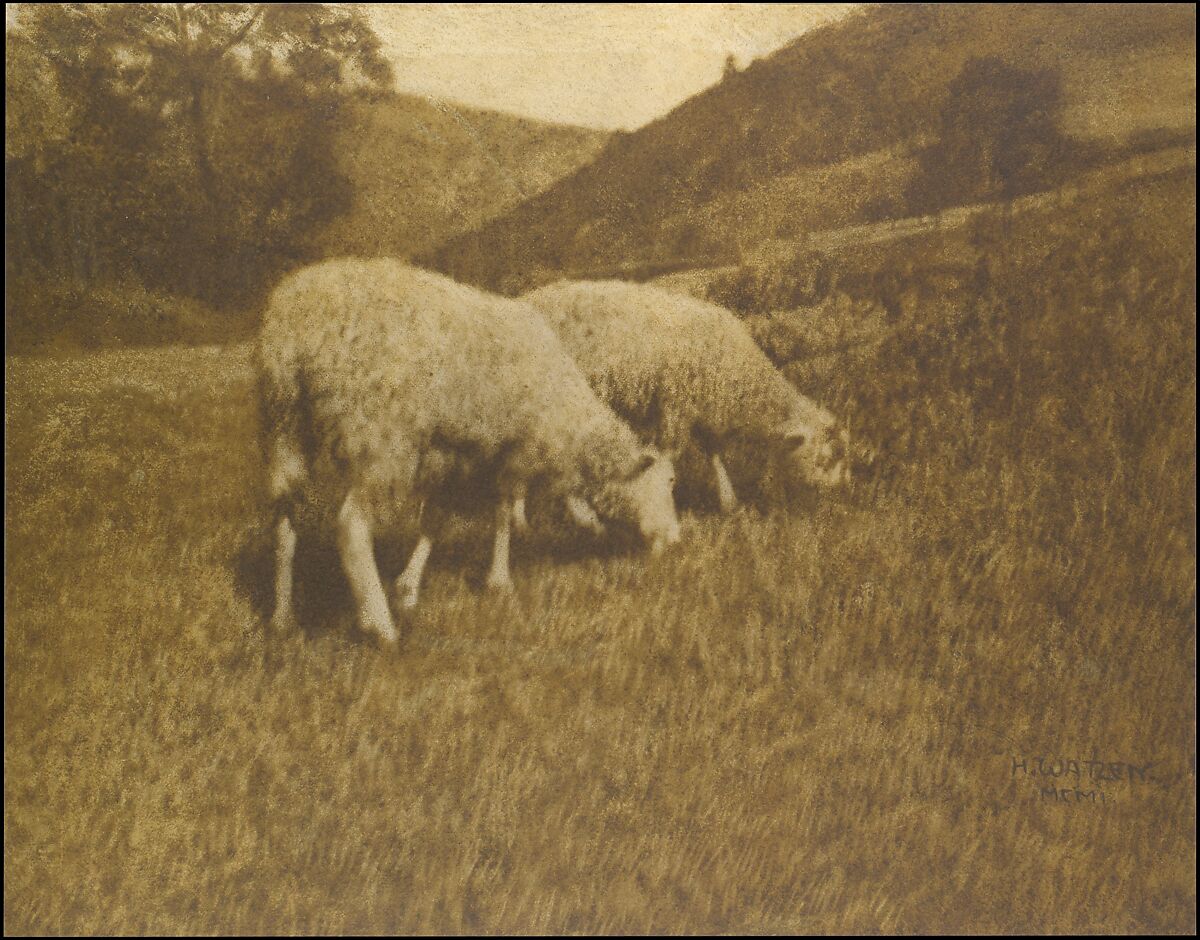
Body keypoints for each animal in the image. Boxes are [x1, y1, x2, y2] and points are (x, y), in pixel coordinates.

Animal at [258, 259, 681, 648]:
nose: (676, 540)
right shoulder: (511, 452)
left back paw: (282, 616)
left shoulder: (451, 458)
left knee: (284, 521)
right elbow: (503, 514)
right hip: (382, 438)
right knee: (351, 527)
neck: (566, 413)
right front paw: (499, 580)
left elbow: (435, 522)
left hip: (284, 430)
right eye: (666, 485)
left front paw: (408, 588)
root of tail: (300, 325)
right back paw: (380, 626)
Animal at [525, 279, 854, 513]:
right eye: (827, 459)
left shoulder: (703, 409)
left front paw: (728, 501)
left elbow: (714, 452)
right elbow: (670, 455)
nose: (843, 494)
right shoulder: (674, 408)